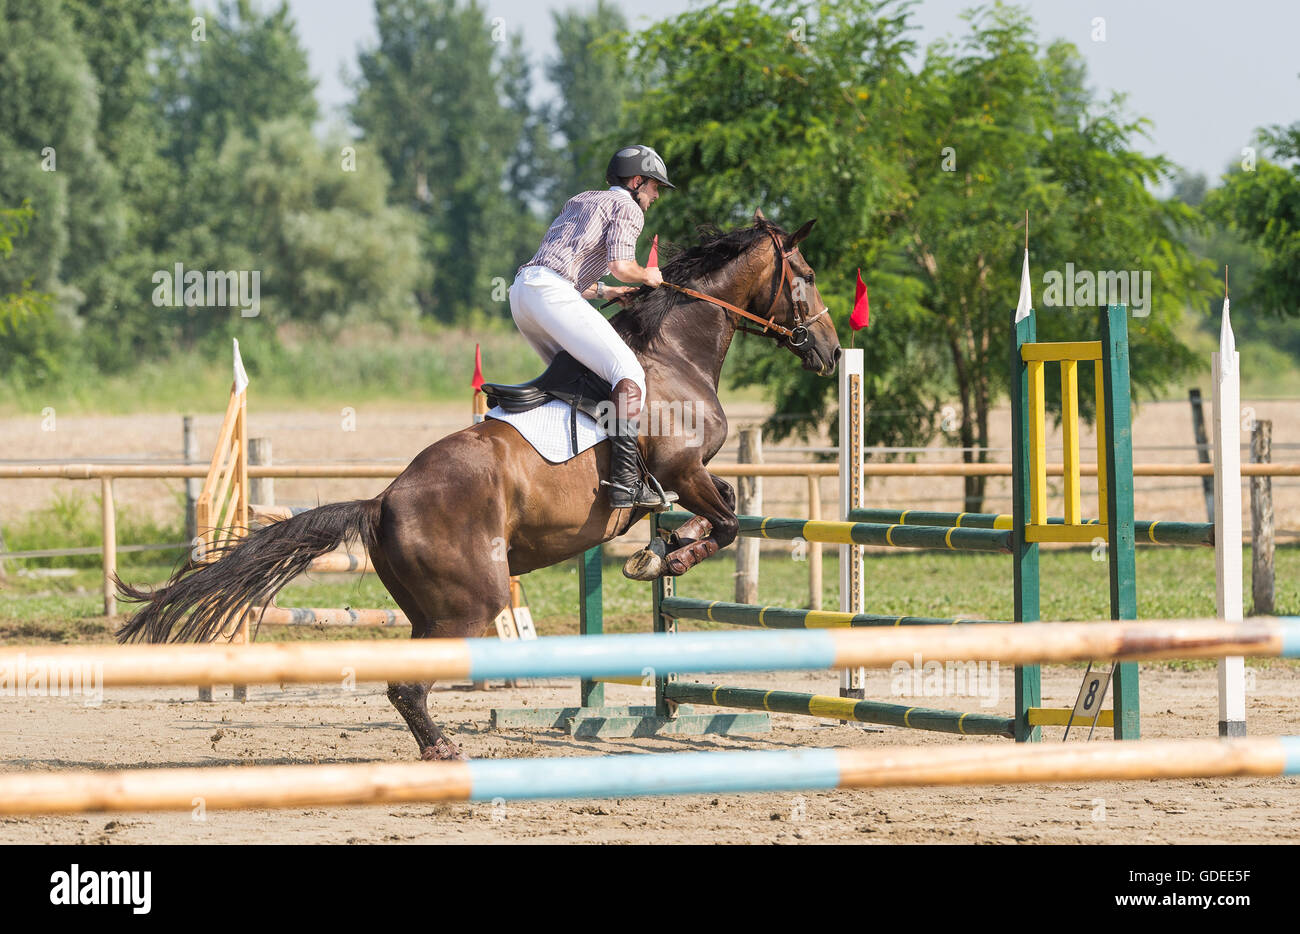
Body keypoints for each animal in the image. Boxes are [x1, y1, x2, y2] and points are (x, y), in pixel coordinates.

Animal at [116, 212, 837, 759]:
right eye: (805, 276)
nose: (831, 351)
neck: (674, 352)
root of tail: (382, 501)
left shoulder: (695, 474)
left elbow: (729, 507)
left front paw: (665, 547)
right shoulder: (683, 470)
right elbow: (726, 522)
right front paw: (664, 556)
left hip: (429, 610)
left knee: (405, 683)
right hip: (470, 603)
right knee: (409, 687)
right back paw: (444, 753)